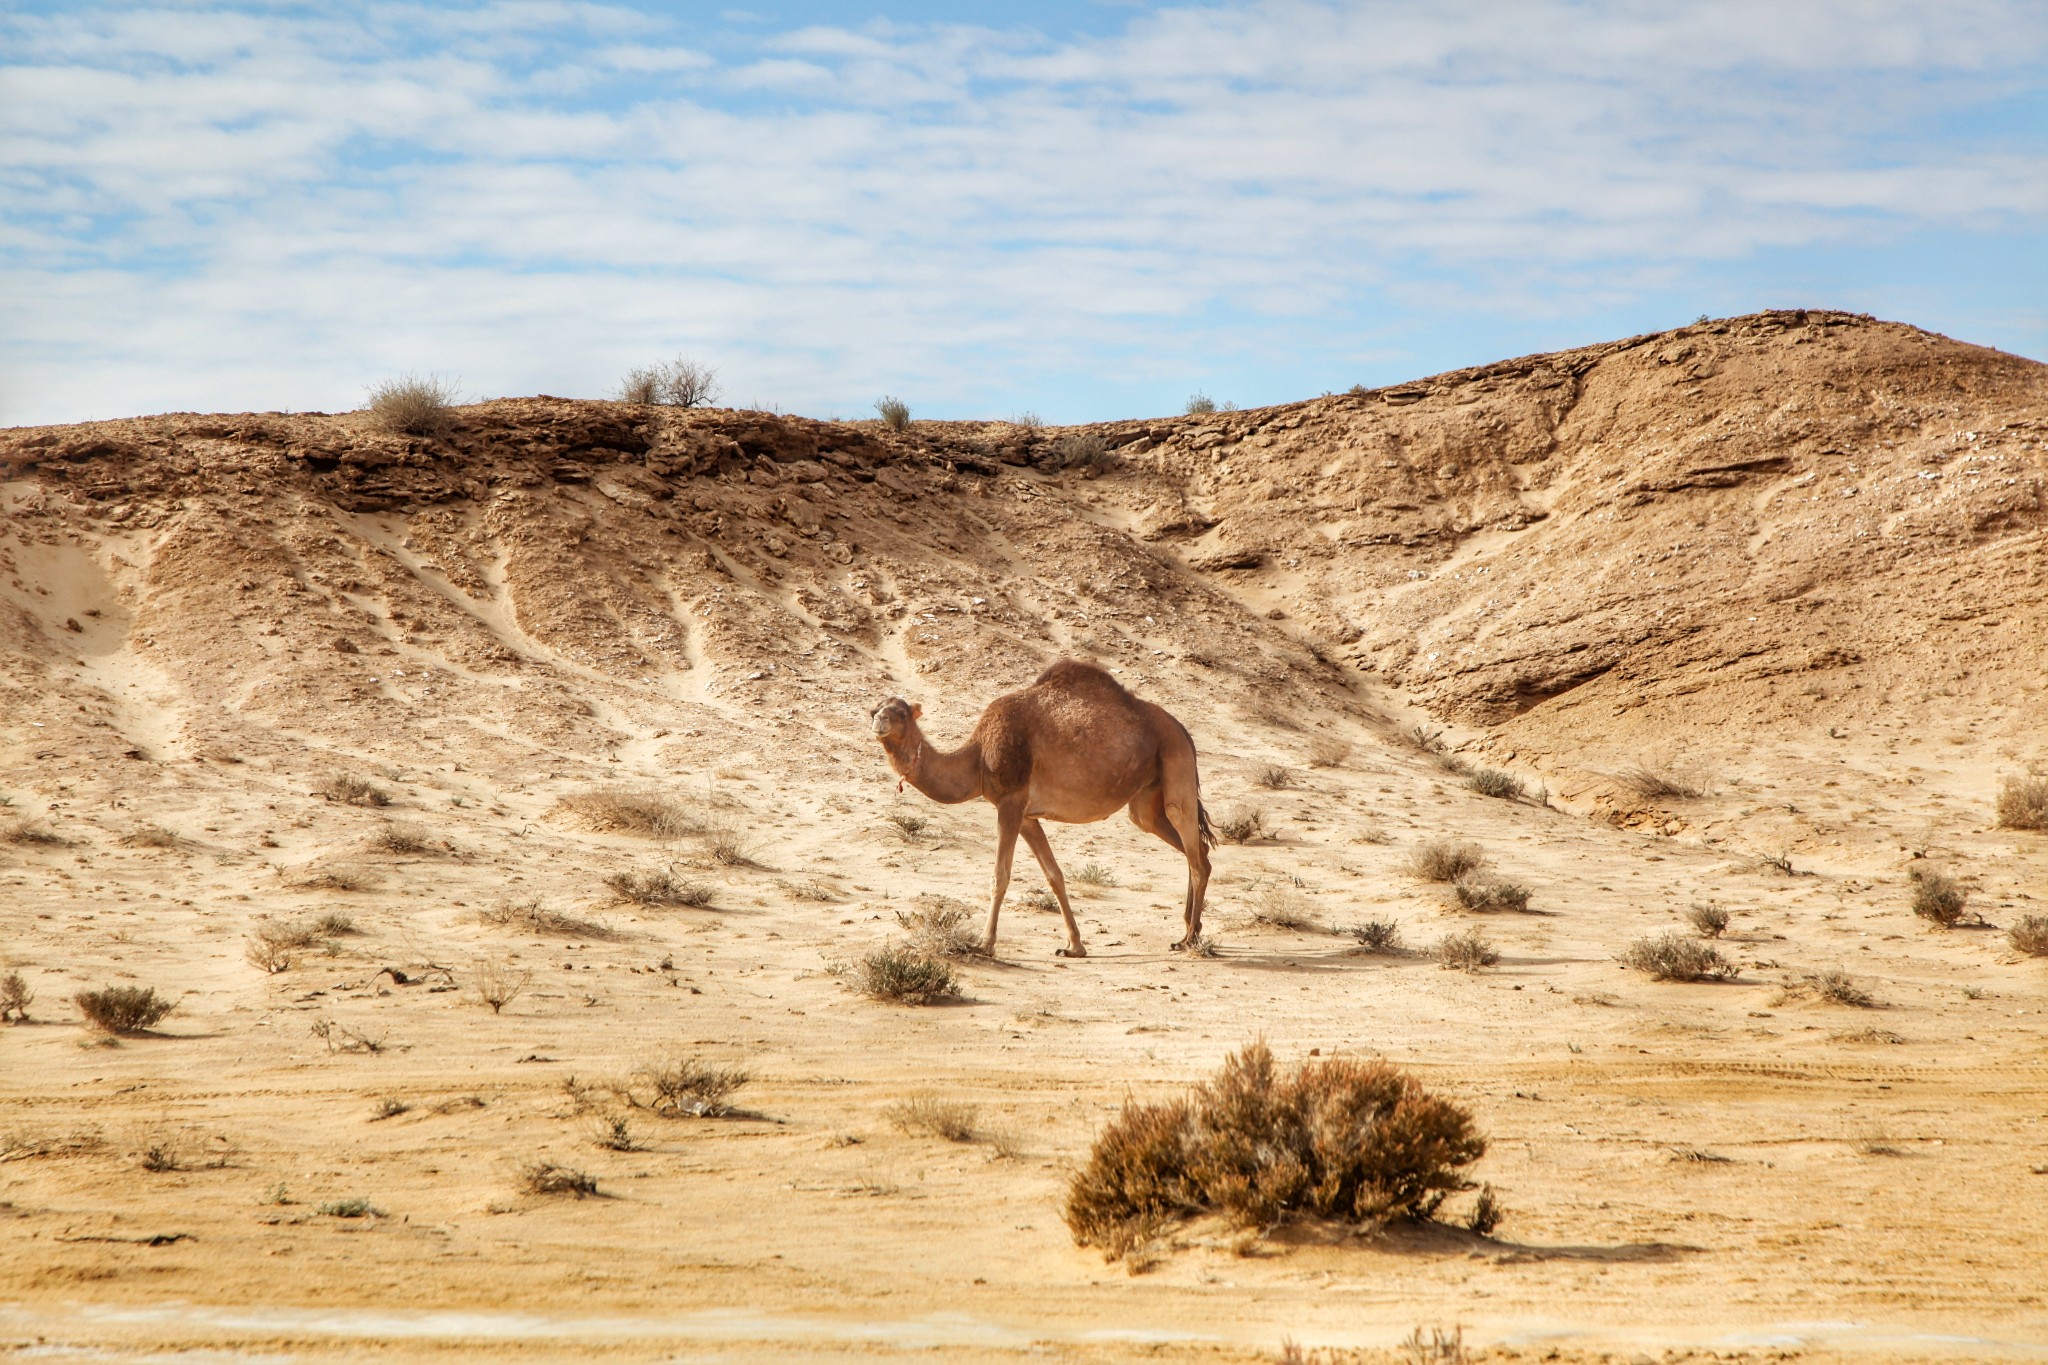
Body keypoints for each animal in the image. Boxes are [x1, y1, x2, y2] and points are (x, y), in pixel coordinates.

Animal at [868, 663, 1212, 961]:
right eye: (874, 708)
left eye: (901, 714)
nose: (878, 722)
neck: (978, 757)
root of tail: (1184, 731)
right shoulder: (1027, 816)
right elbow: (1054, 875)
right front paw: (1074, 946)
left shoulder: (1010, 802)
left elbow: (1000, 875)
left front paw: (985, 943)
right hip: (1146, 801)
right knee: (1196, 850)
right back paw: (1189, 930)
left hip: (1176, 763)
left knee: (1195, 853)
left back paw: (1189, 940)